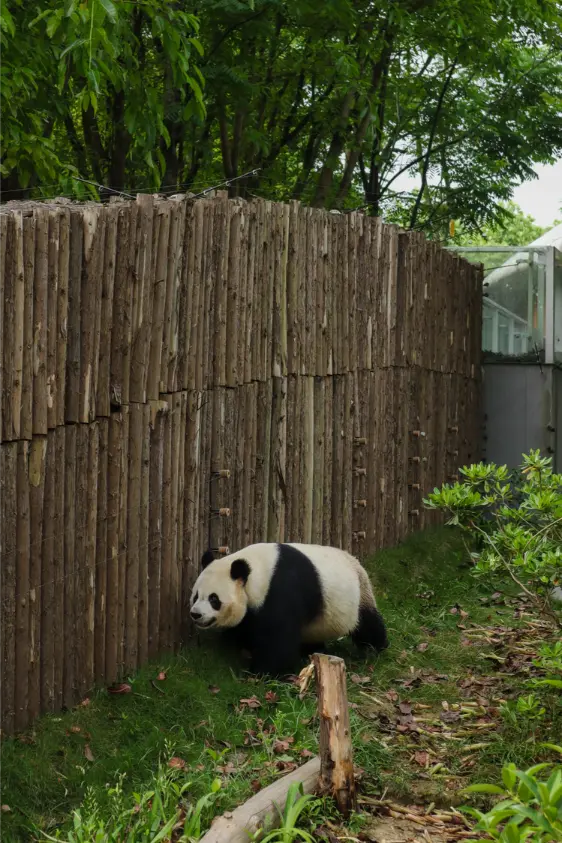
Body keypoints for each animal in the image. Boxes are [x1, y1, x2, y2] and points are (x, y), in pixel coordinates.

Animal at [189, 542, 388, 677]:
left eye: (214, 599)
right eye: (196, 596)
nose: (195, 614)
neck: (257, 572)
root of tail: (355, 560)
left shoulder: (282, 590)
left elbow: (277, 637)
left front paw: (262, 672)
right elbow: (244, 626)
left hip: (358, 596)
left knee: (368, 624)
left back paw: (375, 649)